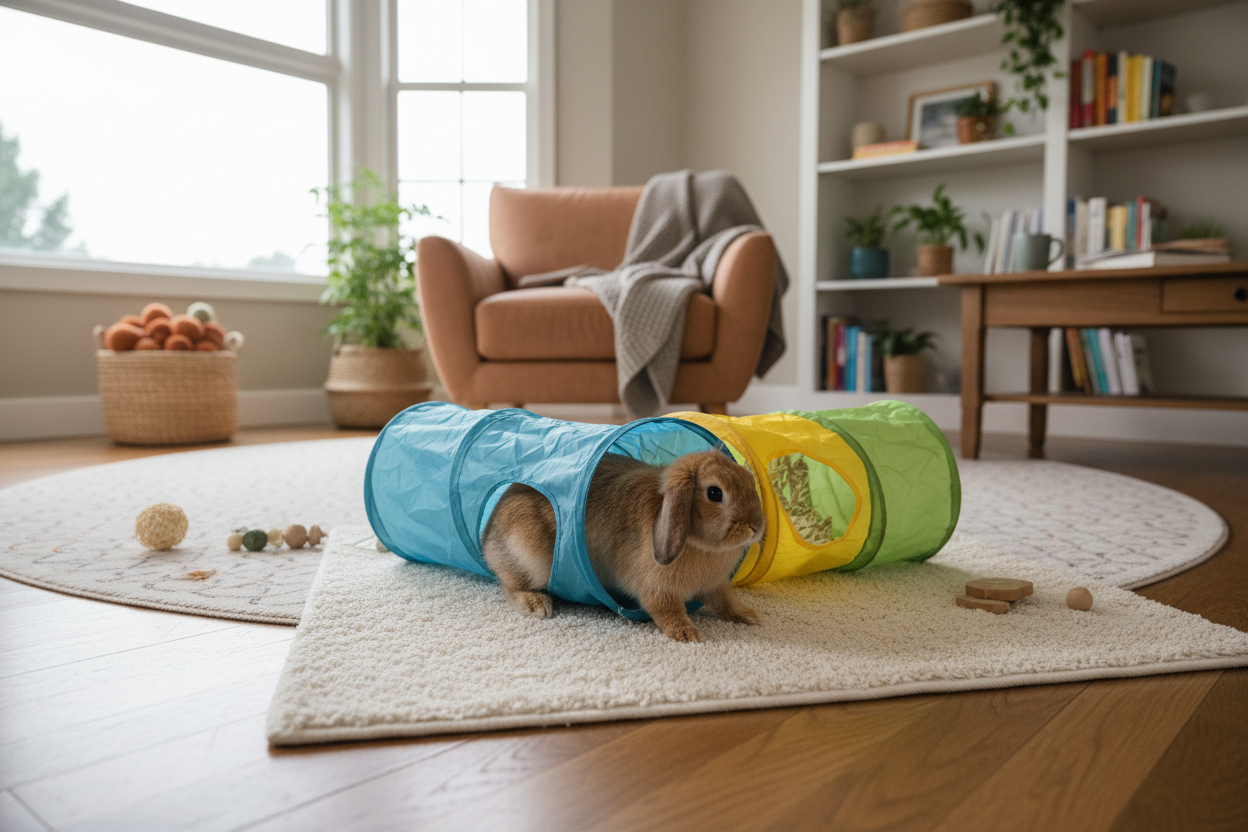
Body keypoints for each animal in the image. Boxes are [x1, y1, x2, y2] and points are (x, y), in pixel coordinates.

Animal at [481, 450, 766, 642]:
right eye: (715, 493)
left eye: (749, 480)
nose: (756, 526)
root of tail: (486, 538)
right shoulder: (657, 591)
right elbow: (668, 612)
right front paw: (688, 634)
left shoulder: (715, 585)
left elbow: (726, 602)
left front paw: (750, 617)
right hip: (529, 560)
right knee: (510, 586)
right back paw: (537, 605)